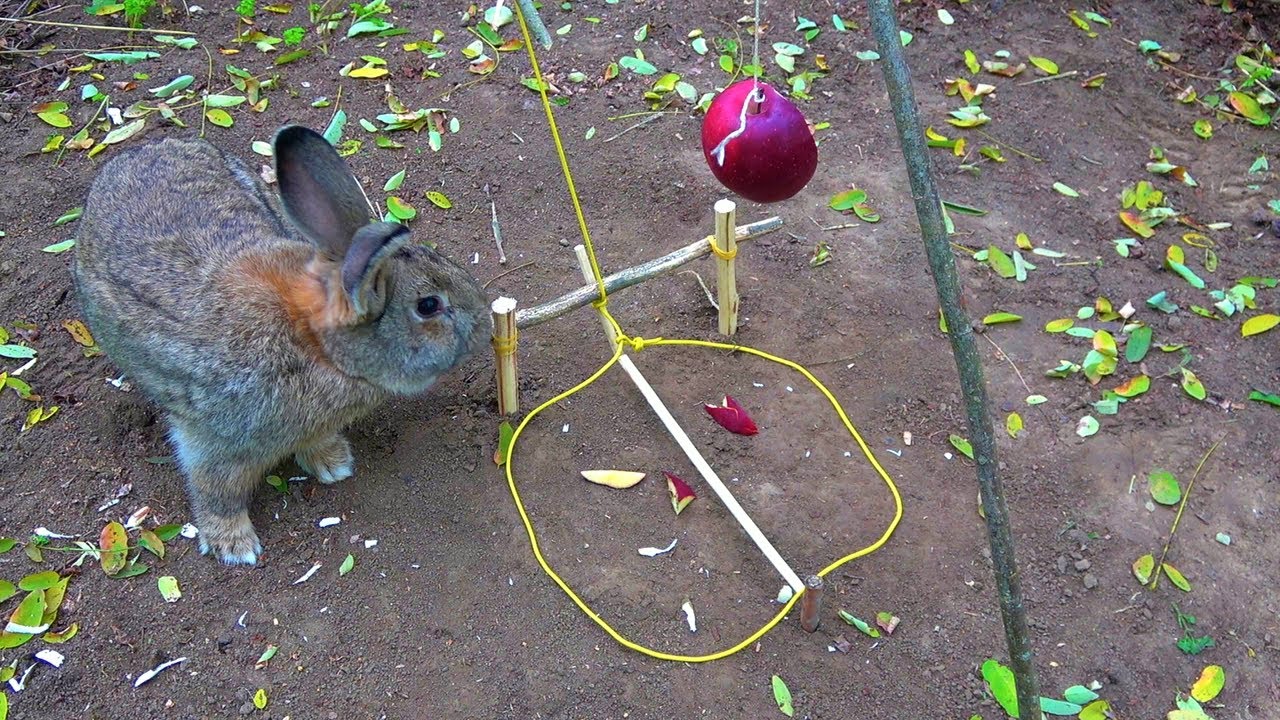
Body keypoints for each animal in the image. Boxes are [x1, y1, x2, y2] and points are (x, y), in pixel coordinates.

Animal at [71, 124, 491, 566]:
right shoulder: (213, 438)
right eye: (429, 306)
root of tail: (138, 152)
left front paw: (333, 463)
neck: (317, 347)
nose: (486, 323)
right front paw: (234, 545)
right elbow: (215, 490)